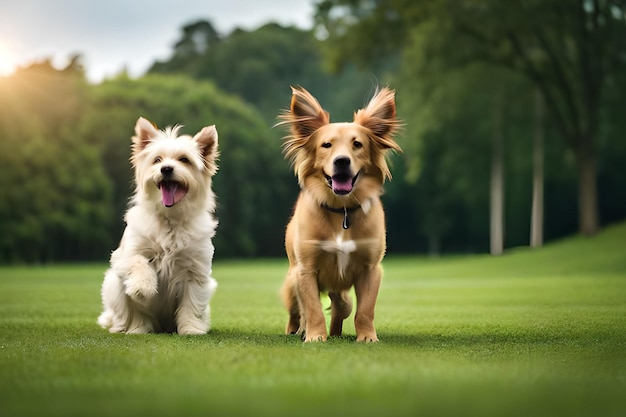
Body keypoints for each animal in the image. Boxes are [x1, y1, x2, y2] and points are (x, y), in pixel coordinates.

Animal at [97, 117, 219, 334]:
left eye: (184, 160)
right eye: (157, 160)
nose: (166, 169)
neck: (170, 218)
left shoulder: (196, 271)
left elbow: (191, 304)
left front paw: (191, 329)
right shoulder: (126, 255)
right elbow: (139, 263)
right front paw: (143, 287)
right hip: (113, 286)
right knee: (131, 315)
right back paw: (135, 329)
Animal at [276, 85, 400, 342]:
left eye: (357, 144)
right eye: (326, 145)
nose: (342, 161)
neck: (341, 210)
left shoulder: (371, 269)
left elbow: (363, 309)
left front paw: (367, 337)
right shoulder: (305, 270)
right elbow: (312, 308)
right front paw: (315, 336)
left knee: (342, 304)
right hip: (291, 281)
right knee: (297, 310)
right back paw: (297, 329)